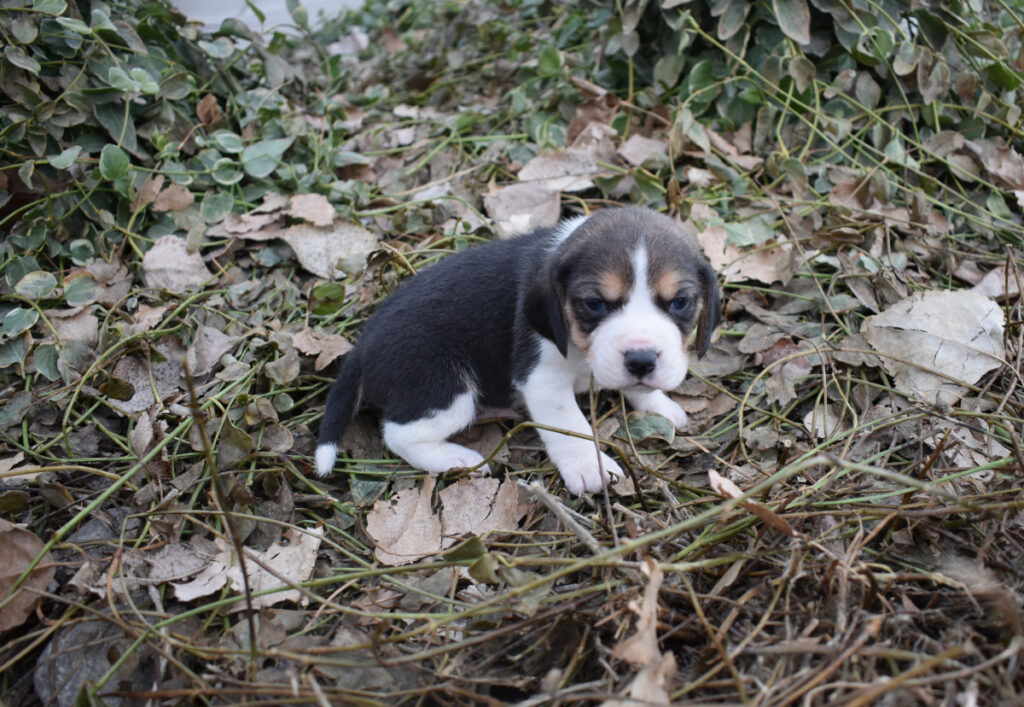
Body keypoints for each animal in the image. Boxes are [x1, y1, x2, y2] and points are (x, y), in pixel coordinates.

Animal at [314, 207, 721, 495]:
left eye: (680, 302)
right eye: (594, 304)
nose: (641, 360)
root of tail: (363, 344)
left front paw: (657, 404)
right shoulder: (541, 380)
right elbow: (571, 427)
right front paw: (590, 468)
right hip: (445, 386)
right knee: (399, 434)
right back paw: (454, 457)